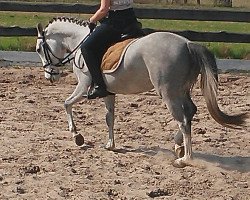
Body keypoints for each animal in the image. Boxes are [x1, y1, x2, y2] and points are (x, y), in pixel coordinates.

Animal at [36, 17, 247, 167]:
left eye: (39, 48)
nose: (50, 77)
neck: (79, 42)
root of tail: (187, 44)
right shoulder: (108, 92)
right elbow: (109, 118)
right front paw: (110, 145)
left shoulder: (83, 87)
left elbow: (66, 103)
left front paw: (76, 136)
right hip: (181, 90)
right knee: (190, 112)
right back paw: (178, 145)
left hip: (168, 93)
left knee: (183, 119)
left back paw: (185, 159)